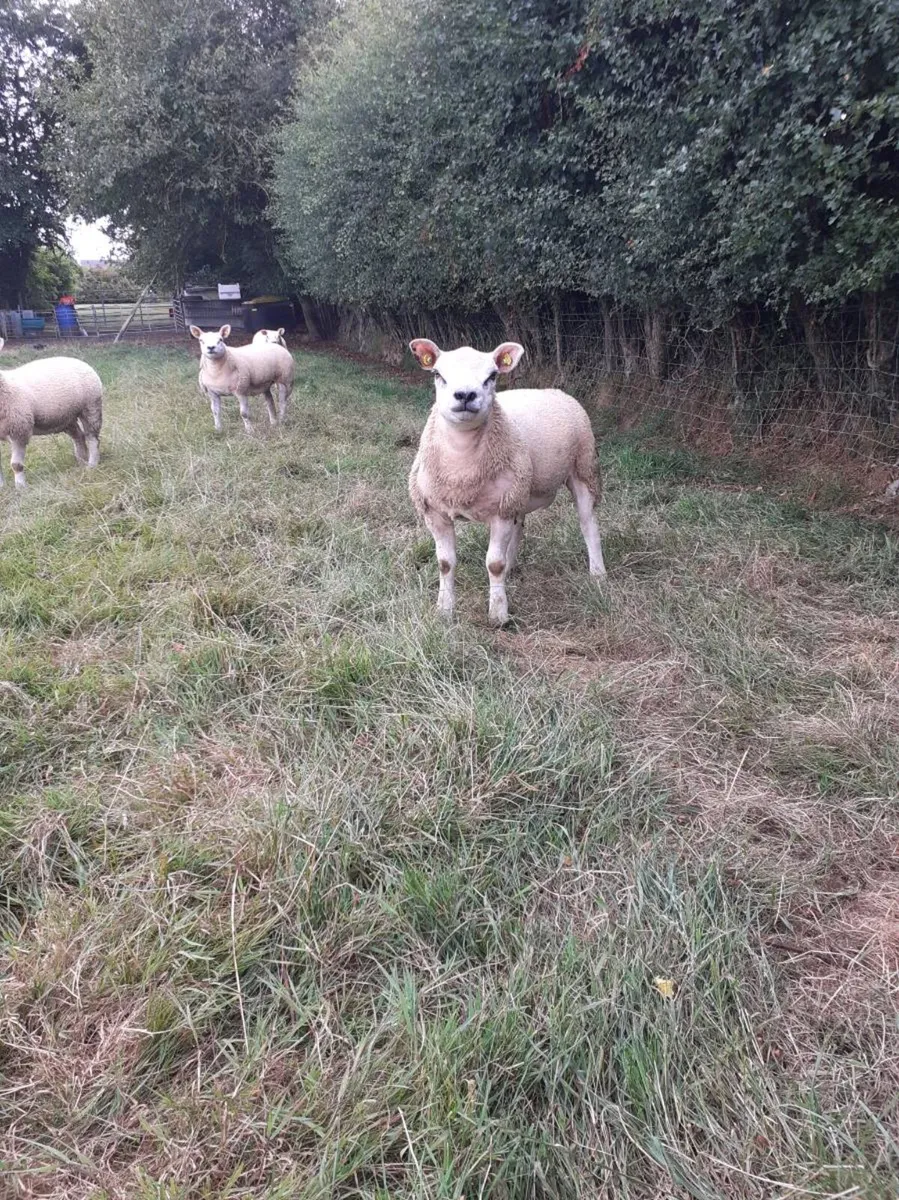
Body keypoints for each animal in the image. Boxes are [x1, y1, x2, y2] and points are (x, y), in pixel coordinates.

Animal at [0, 337, 102, 488]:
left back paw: (92, 464)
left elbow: (16, 465)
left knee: (92, 437)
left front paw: (20, 487)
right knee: (79, 436)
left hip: (91, 405)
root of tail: (77, 360)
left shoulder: (20, 430)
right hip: (66, 417)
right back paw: (81, 460)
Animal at [408, 338, 605, 625]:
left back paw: (598, 573)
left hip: (583, 467)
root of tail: (557, 391)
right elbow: (445, 563)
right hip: (519, 491)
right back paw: (512, 568)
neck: (461, 468)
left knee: (588, 524)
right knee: (519, 526)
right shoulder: (434, 511)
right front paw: (444, 610)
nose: (465, 395)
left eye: (492, 376)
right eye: (437, 374)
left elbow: (494, 564)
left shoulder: (500, 511)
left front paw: (498, 614)